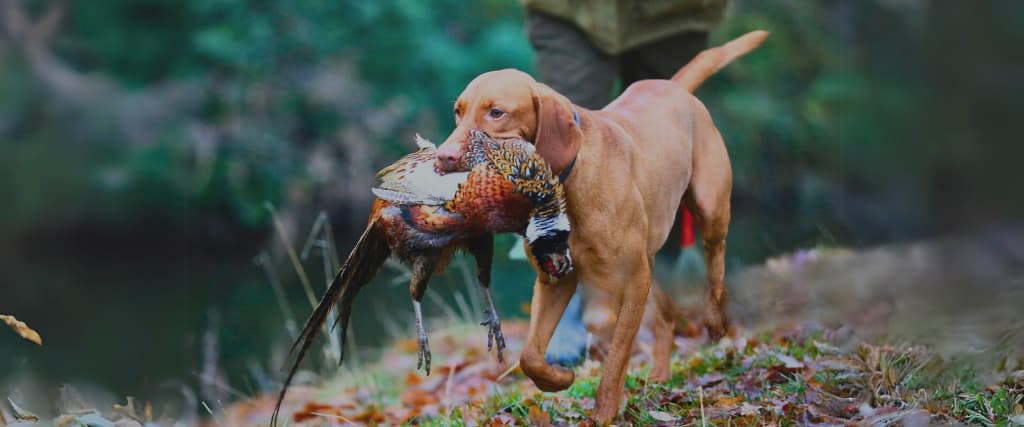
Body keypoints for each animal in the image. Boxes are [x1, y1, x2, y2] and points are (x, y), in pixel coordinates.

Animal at [432, 30, 770, 421]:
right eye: (458, 112)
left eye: (496, 112)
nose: (442, 156)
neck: (565, 188)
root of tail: (674, 86)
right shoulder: (555, 278)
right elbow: (530, 356)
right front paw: (559, 380)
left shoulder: (633, 282)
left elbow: (617, 359)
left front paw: (604, 413)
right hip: (650, 261)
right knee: (667, 314)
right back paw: (660, 373)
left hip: (709, 213)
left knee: (715, 265)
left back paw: (716, 320)